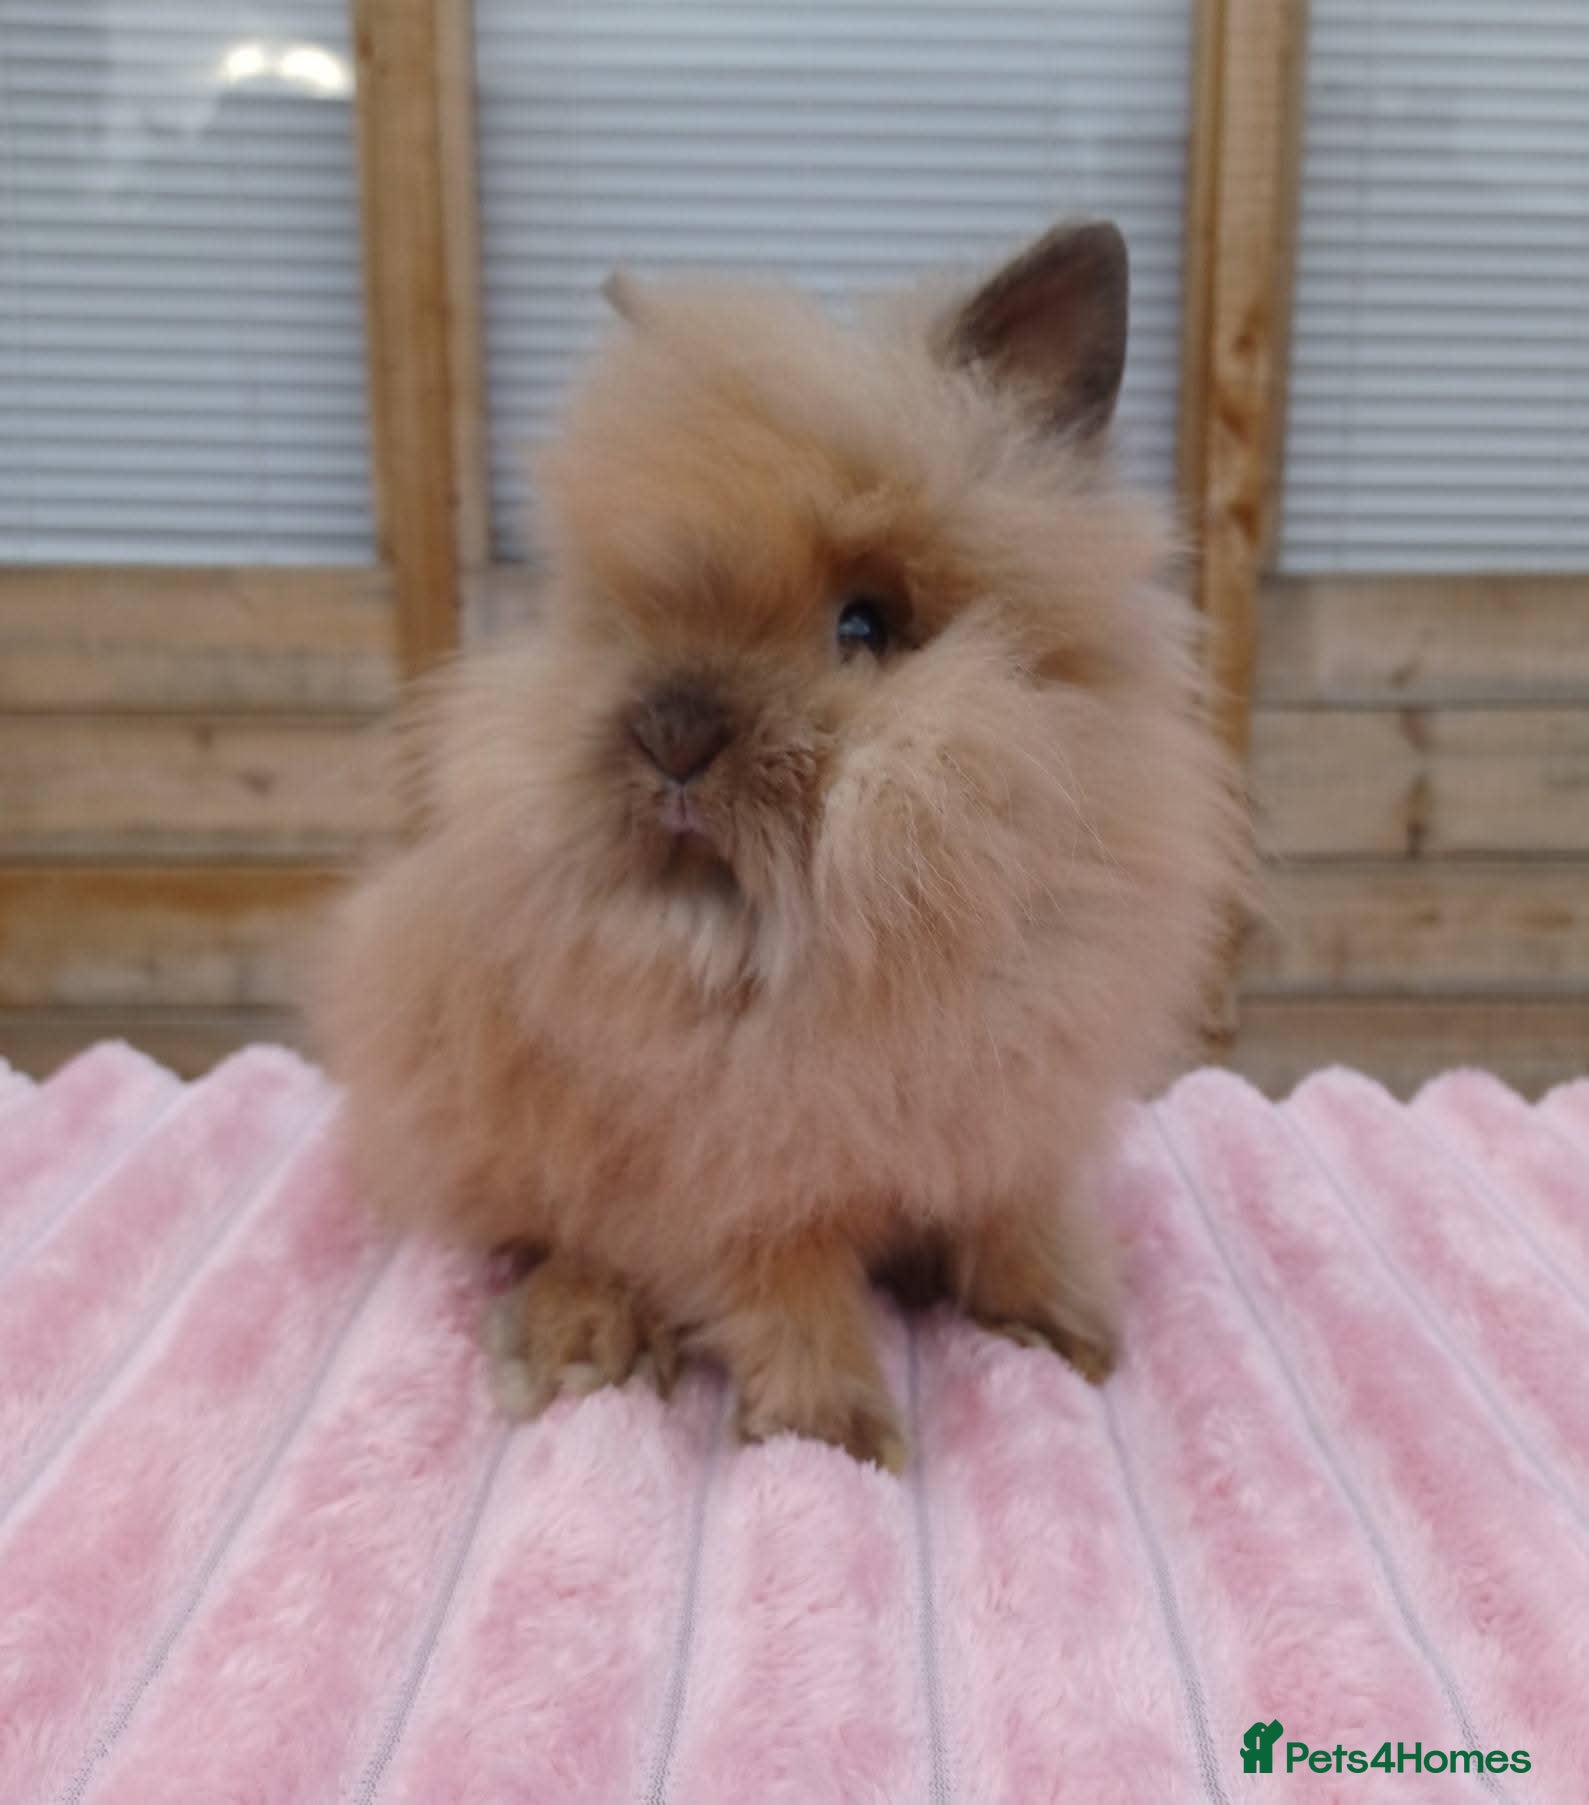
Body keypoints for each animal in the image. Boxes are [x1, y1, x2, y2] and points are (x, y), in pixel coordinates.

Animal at [312, 221, 1245, 1471]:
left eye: (864, 623)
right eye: (621, 613)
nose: (669, 734)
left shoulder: (1018, 1123)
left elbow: (1018, 1224)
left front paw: (1064, 1336)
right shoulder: (734, 1186)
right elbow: (785, 1297)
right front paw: (837, 1439)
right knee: (559, 1236)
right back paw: (577, 1346)